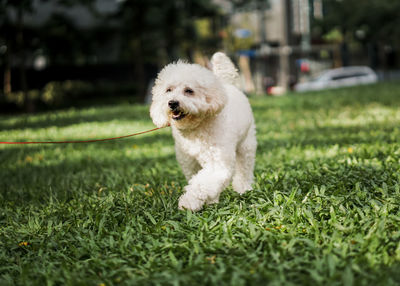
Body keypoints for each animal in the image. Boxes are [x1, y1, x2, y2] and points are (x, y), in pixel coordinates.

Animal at [150, 52, 256, 211]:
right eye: (168, 90)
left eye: (189, 91)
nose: (172, 103)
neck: (196, 129)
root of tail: (228, 84)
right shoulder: (189, 163)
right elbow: (202, 183)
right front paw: (210, 202)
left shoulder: (218, 164)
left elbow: (201, 184)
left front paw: (188, 202)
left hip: (246, 145)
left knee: (245, 169)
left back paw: (244, 189)